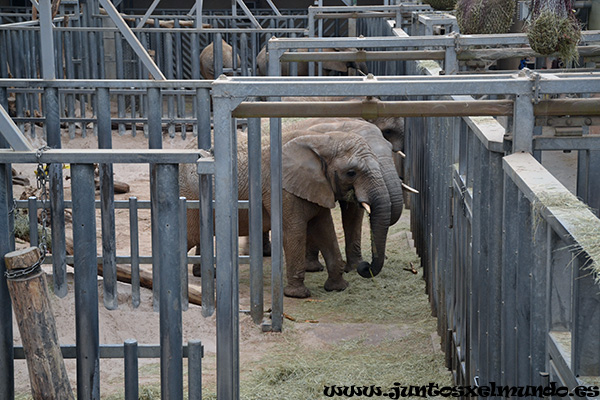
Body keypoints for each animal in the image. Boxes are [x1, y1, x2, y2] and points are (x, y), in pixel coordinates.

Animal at [178, 128, 394, 296]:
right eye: (351, 173)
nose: (364, 267)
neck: (321, 140)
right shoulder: (282, 189)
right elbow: (294, 231)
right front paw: (298, 295)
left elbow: (325, 229)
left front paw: (338, 288)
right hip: (189, 196)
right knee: (187, 236)